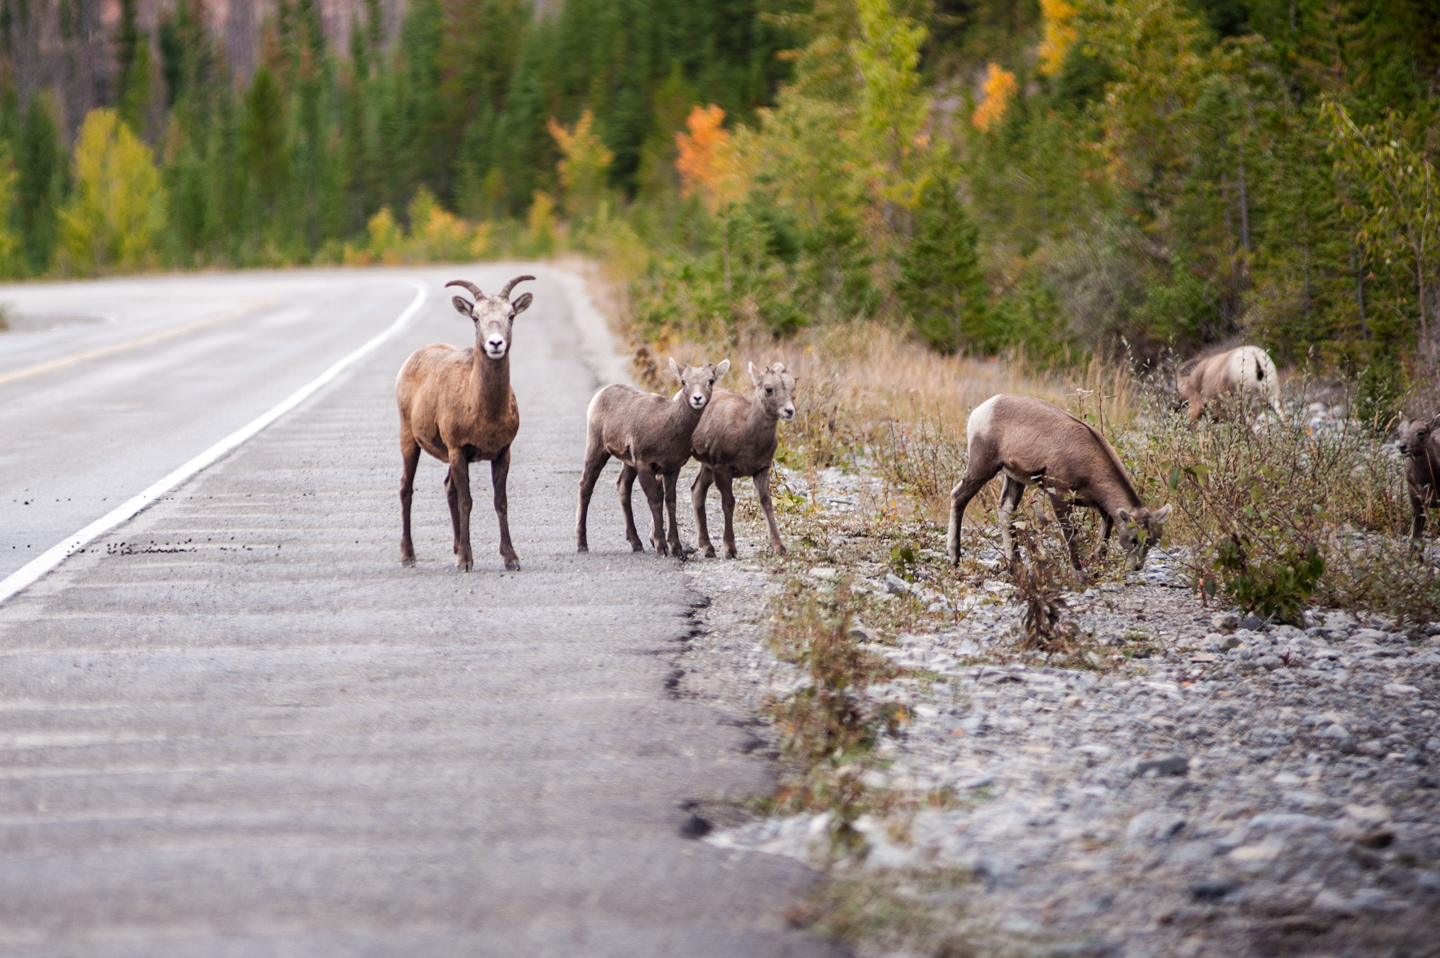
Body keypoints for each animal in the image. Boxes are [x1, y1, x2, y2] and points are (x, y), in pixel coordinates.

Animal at [397, 270, 532, 567]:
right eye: (475, 317)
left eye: (511, 315)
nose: (495, 344)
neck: (483, 412)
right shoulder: (458, 449)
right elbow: (467, 501)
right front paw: (466, 562)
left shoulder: (502, 452)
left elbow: (500, 501)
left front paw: (511, 558)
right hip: (409, 439)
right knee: (406, 489)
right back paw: (408, 556)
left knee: (448, 489)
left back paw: (456, 546)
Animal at [576, 357, 731, 553]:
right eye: (683, 381)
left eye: (710, 381)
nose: (697, 398)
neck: (667, 427)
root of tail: (600, 394)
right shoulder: (645, 465)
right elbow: (655, 500)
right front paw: (662, 546)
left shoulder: (672, 468)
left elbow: (670, 501)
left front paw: (677, 547)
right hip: (597, 448)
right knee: (586, 486)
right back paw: (582, 544)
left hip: (629, 463)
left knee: (622, 487)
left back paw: (636, 543)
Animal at [688, 360, 800, 556]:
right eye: (769, 389)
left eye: (792, 387)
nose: (789, 411)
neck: (747, 434)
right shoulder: (723, 468)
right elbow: (729, 503)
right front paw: (730, 549)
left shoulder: (761, 469)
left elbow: (766, 502)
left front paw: (778, 546)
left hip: (707, 467)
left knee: (697, 492)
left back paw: (707, 547)